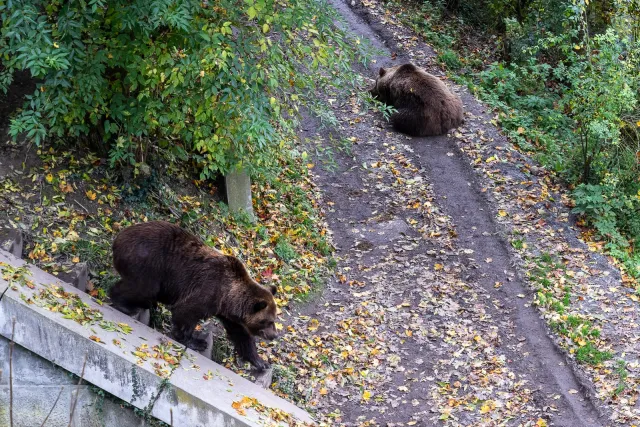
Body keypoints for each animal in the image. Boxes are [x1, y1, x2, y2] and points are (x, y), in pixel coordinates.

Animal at [109, 221, 278, 372]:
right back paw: (123, 303)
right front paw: (195, 341)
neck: (228, 298)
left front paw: (261, 362)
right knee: (143, 288)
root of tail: (118, 238)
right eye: (268, 321)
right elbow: (185, 312)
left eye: (274, 320)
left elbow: (241, 335)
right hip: (148, 262)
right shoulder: (209, 290)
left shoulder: (229, 314)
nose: (274, 336)